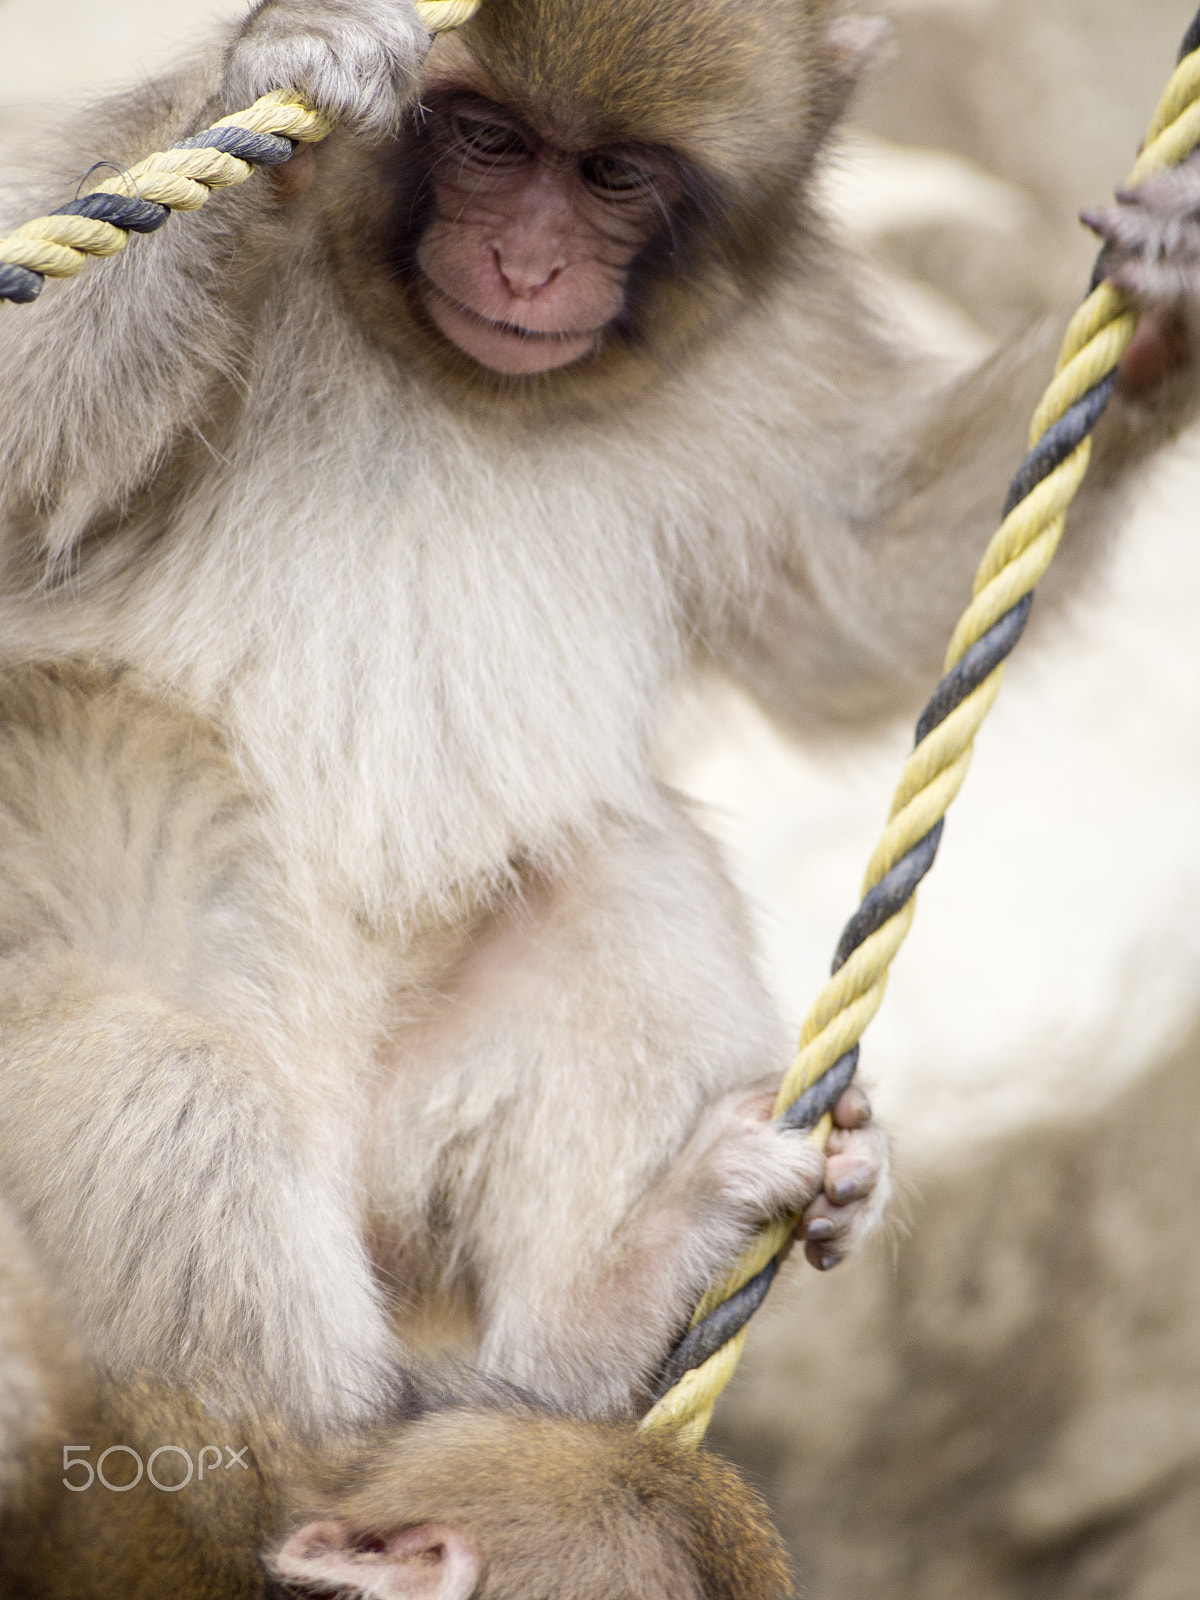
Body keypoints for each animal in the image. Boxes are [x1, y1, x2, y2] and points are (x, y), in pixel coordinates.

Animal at [0, 0, 1195, 1434]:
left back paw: (600, 1324)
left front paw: (1168, 311)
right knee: (159, 1061)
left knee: (618, 877)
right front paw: (290, 62)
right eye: (489, 141)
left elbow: (859, 599)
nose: (525, 270)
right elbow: (22, 443)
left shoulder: (762, 353)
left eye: (614, 175)